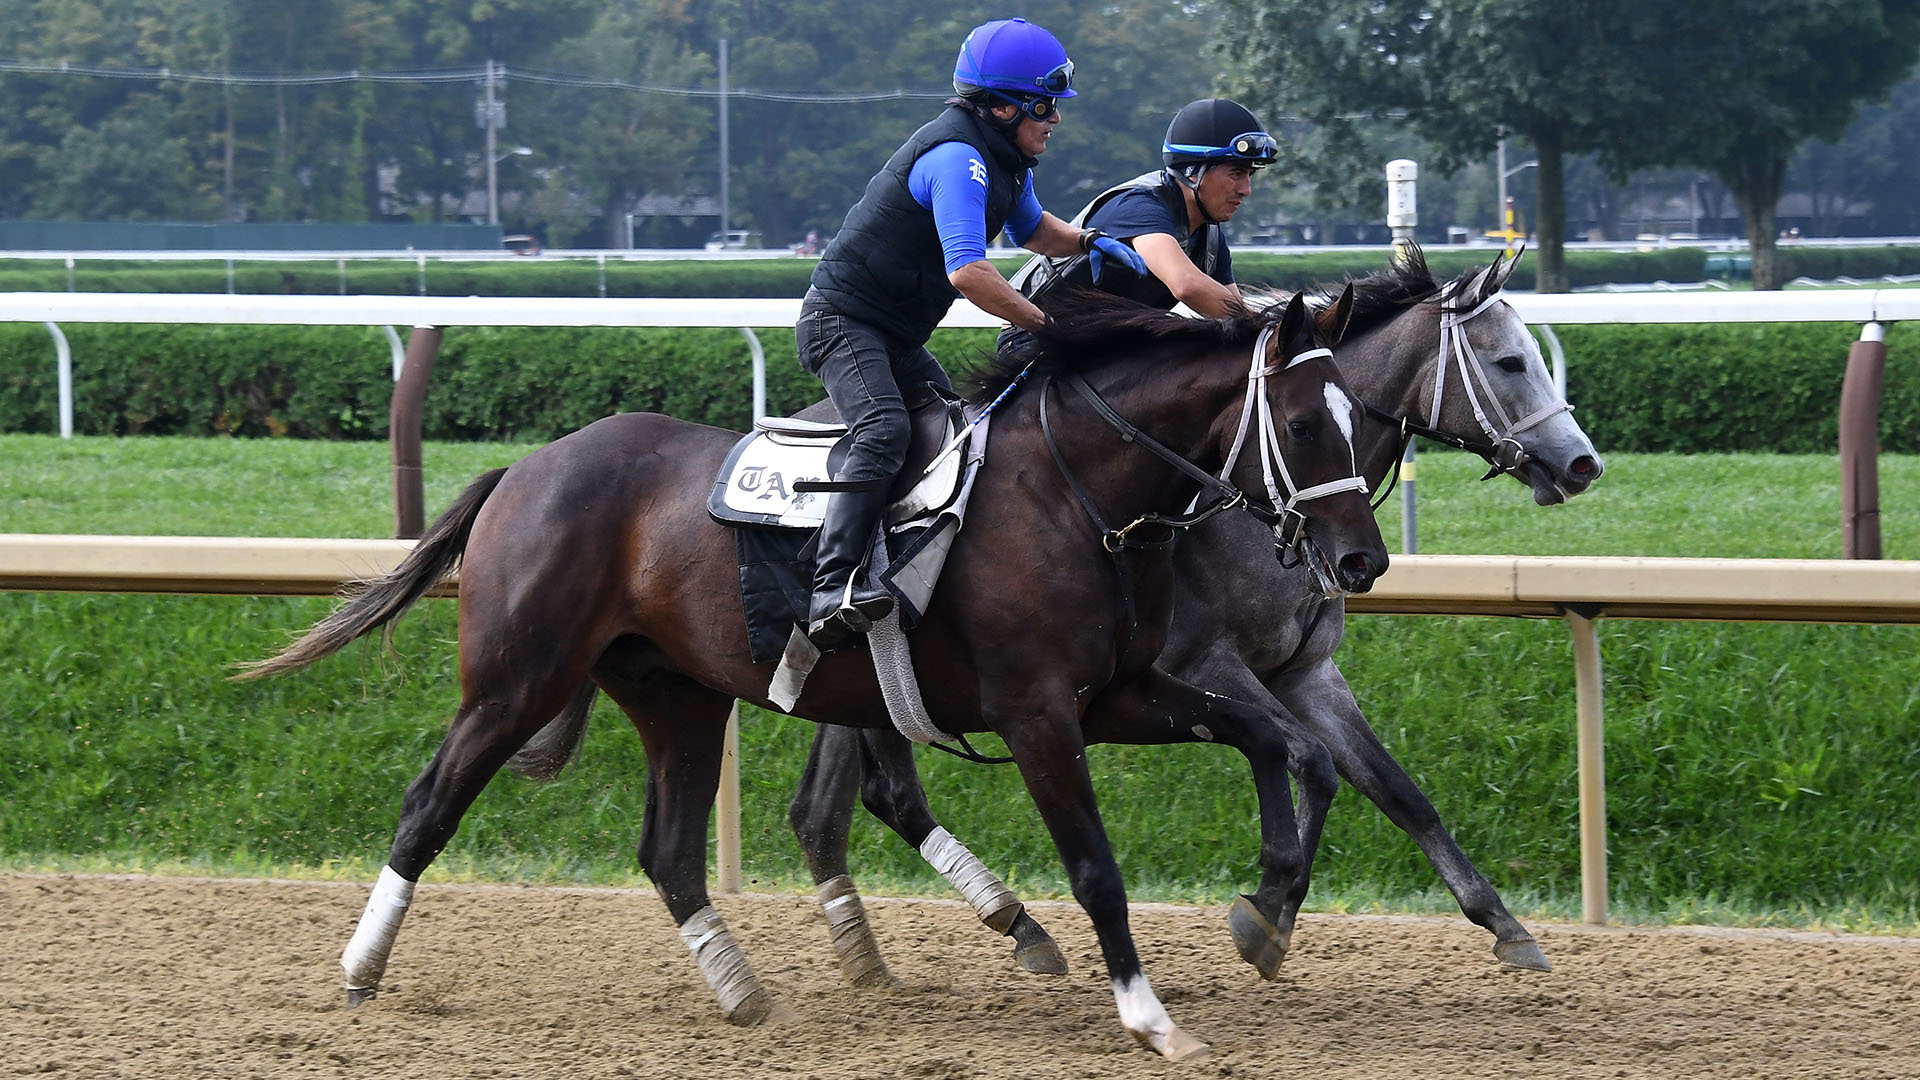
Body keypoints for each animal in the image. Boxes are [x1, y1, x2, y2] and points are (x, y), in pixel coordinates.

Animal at [243, 290, 1382, 1053]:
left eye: (1360, 414)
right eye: (1301, 422)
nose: (1362, 560)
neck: (1076, 493)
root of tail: (529, 465)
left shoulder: (1120, 693)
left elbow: (1276, 741)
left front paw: (1268, 907)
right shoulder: (1037, 713)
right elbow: (1098, 865)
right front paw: (1152, 1018)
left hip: (677, 694)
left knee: (669, 851)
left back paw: (742, 991)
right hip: (516, 680)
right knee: (429, 805)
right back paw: (360, 971)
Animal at [775, 244, 1605, 983]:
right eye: (1510, 362)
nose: (1582, 463)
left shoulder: (1306, 669)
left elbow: (1396, 789)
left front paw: (1504, 924)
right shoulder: (1203, 662)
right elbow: (1311, 760)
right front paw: (1269, 912)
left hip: (864, 678)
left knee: (832, 807)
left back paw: (893, 947)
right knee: (877, 796)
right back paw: (996, 926)